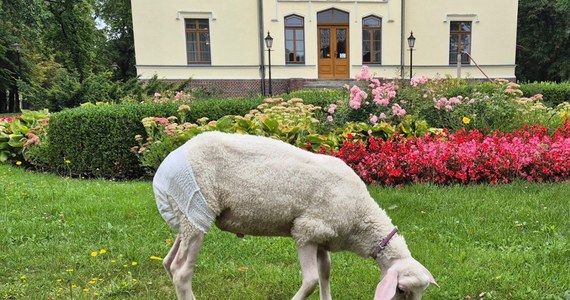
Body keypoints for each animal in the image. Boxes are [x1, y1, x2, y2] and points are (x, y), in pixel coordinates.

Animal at [151, 132, 434, 300]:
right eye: (401, 290)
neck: (361, 220)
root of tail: (163, 172)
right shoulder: (305, 231)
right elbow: (310, 280)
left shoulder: (322, 237)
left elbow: (325, 273)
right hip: (197, 208)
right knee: (181, 271)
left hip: (187, 214)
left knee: (168, 261)